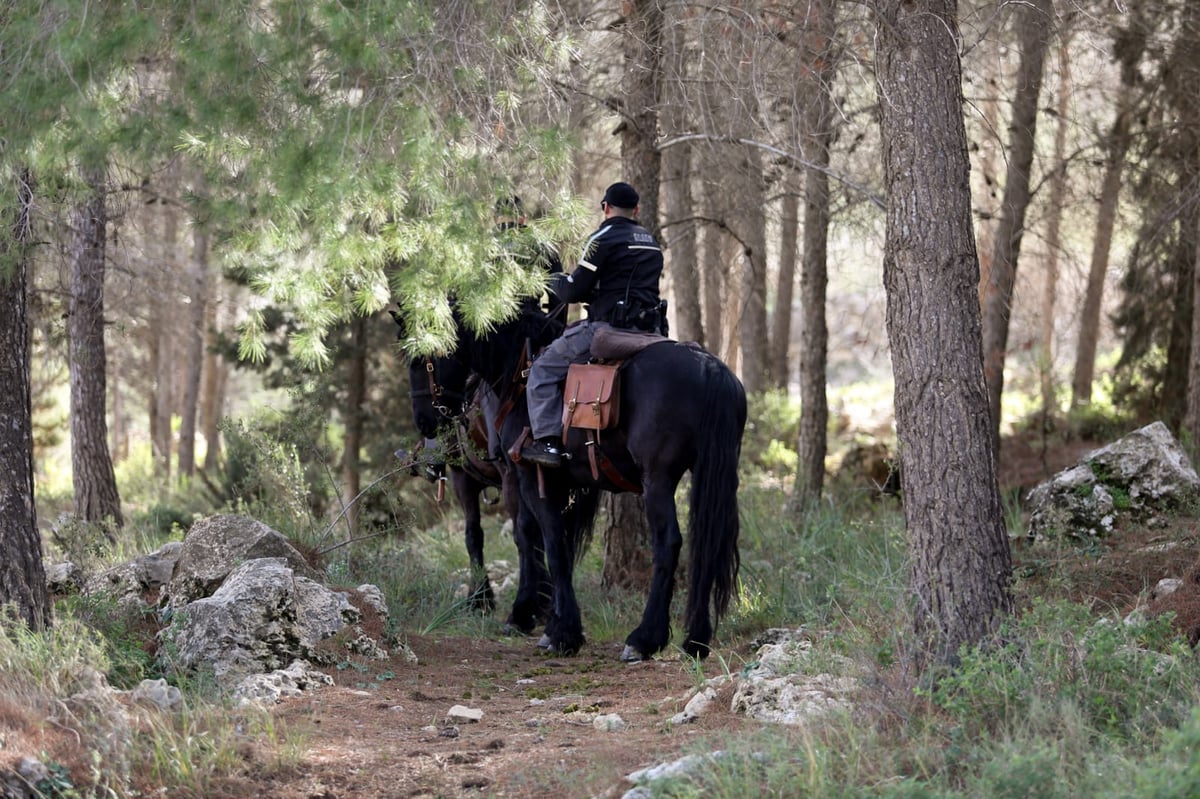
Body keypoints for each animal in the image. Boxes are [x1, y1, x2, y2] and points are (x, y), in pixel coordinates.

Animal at [410, 304, 739, 657]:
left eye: (417, 360)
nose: (425, 421)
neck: (517, 375)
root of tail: (708, 367)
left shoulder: (524, 478)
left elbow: (542, 542)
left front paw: (547, 625)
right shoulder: (560, 485)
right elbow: (556, 545)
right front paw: (546, 615)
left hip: (658, 481)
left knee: (668, 544)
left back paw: (644, 638)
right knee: (706, 546)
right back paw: (695, 639)